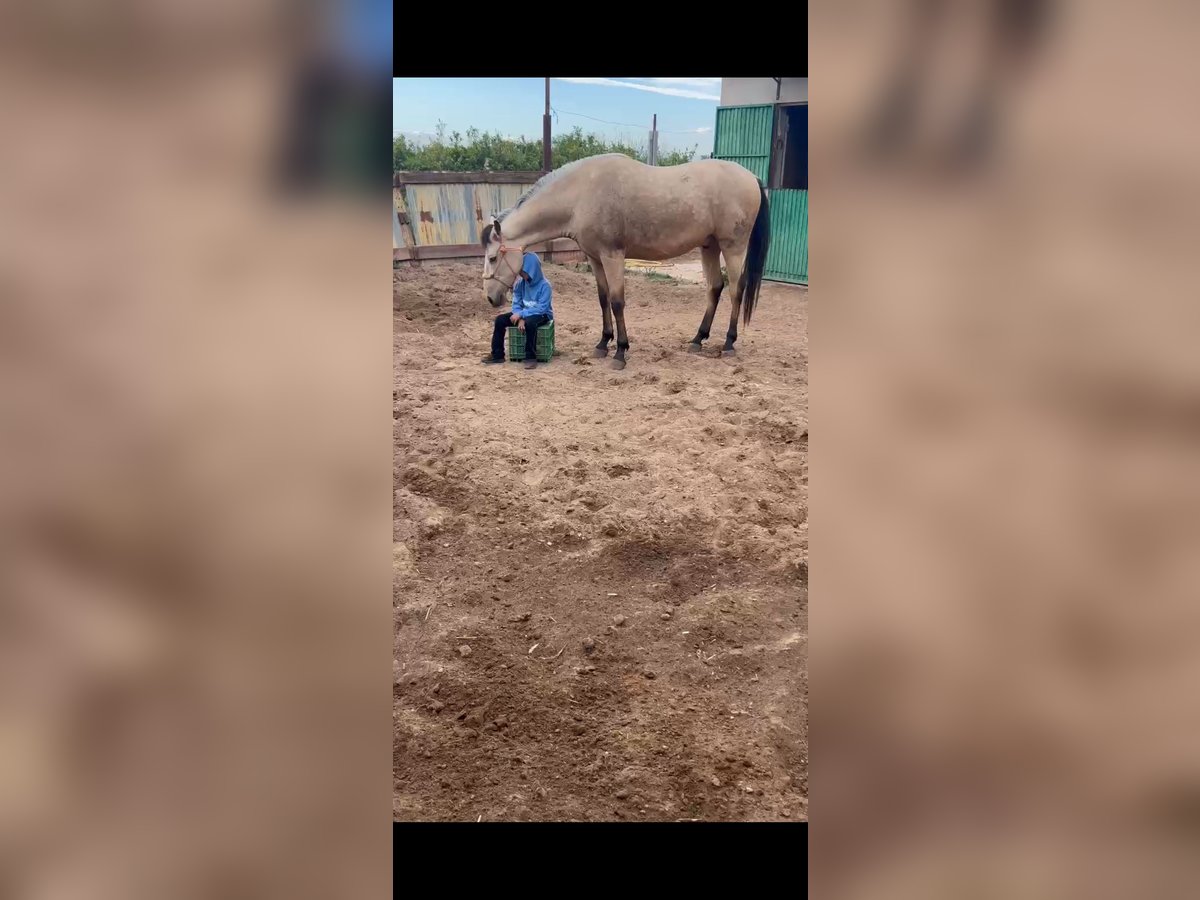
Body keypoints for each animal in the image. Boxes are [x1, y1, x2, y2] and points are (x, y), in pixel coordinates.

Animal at [477, 154, 768, 369]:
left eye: (492, 257)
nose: (490, 298)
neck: (580, 194)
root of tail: (752, 177)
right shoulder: (595, 258)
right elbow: (603, 298)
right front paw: (603, 344)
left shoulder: (612, 256)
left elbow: (617, 302)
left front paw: (620, 352)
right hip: (710, 246)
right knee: (715, 288)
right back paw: (697, 339)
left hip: (733, 247)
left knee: (736, 290)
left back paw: (729, 343)